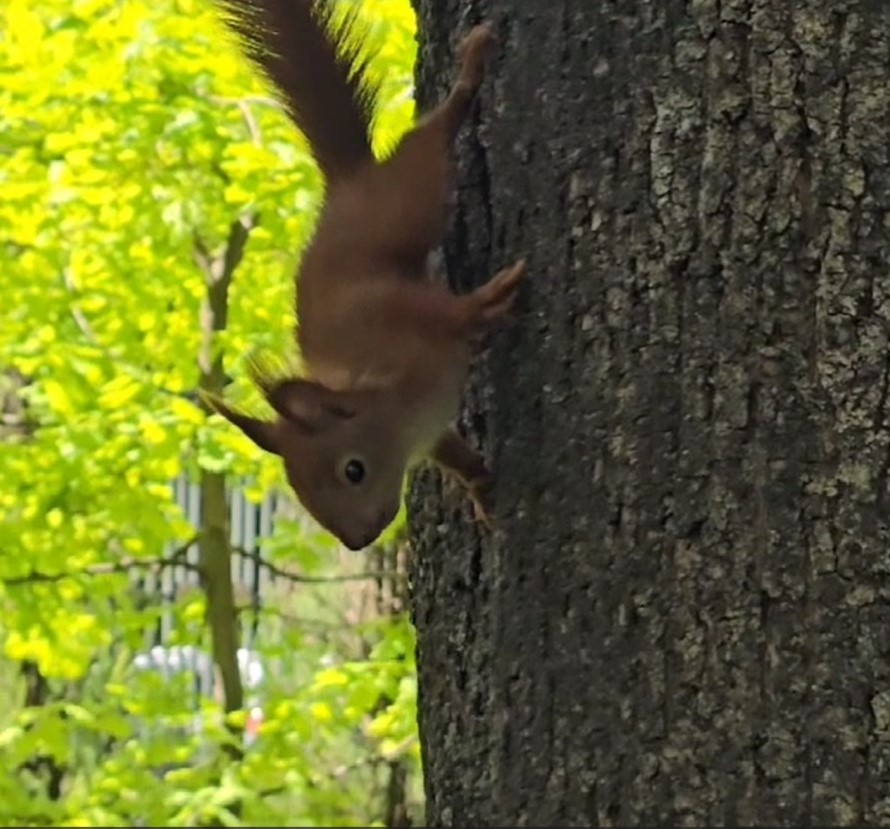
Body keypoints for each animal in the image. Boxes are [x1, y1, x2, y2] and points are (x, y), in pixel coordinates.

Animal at [209, 0, 524, 548]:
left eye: (352, 470)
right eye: (302, 493)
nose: (359, 541)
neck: (398, 406)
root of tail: (347, 184)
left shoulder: (402, 313)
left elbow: (449, 313)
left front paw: (489, 300)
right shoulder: (432, 430)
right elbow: (456, 455)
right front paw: (480, 486)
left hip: (407, 197)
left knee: (428, 138)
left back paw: (470, 73)